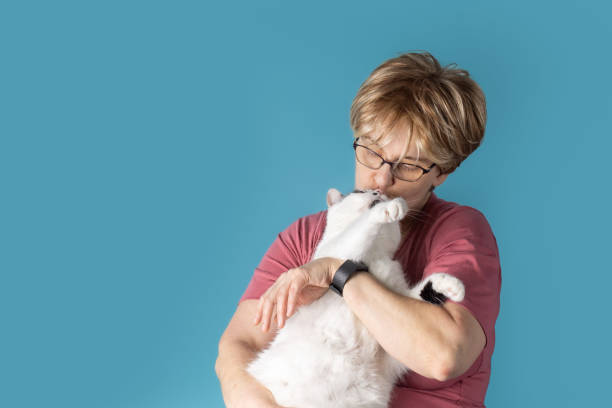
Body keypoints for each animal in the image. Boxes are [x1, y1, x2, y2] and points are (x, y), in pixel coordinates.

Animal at [246, 188, 466, 408]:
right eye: (360, 191)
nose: (378, 191)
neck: (374, 257)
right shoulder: (338, 250)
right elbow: (357, 230)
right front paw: (389, 207)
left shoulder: (389, 354)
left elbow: (424, 292)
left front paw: (451, 285)